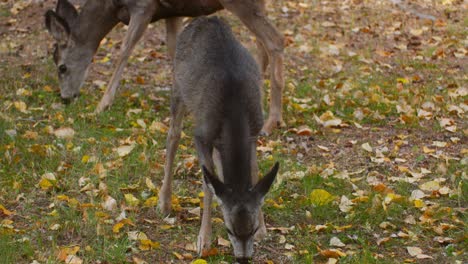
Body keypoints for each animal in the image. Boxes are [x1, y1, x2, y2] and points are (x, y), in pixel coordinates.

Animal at [44, 0, 286, 134]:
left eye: (62, 67)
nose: (65, 98)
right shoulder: (173, 12)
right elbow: (174, 50)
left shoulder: (143, 7)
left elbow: (125, 49)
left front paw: (101, 105)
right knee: (262, 46)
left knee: (275, 40)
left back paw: (272, 122)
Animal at [159, 17, 280, 262]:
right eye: (229, 230)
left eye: (251, 228)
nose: (243, 258)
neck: (235, 112)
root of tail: (206, 19)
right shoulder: (201, 135)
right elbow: (208, 184)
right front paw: (203, 240)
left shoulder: (254, 132)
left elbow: (254, 172)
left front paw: (264, 228)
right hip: (177, 87)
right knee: (173, 135)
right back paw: (164, 201)